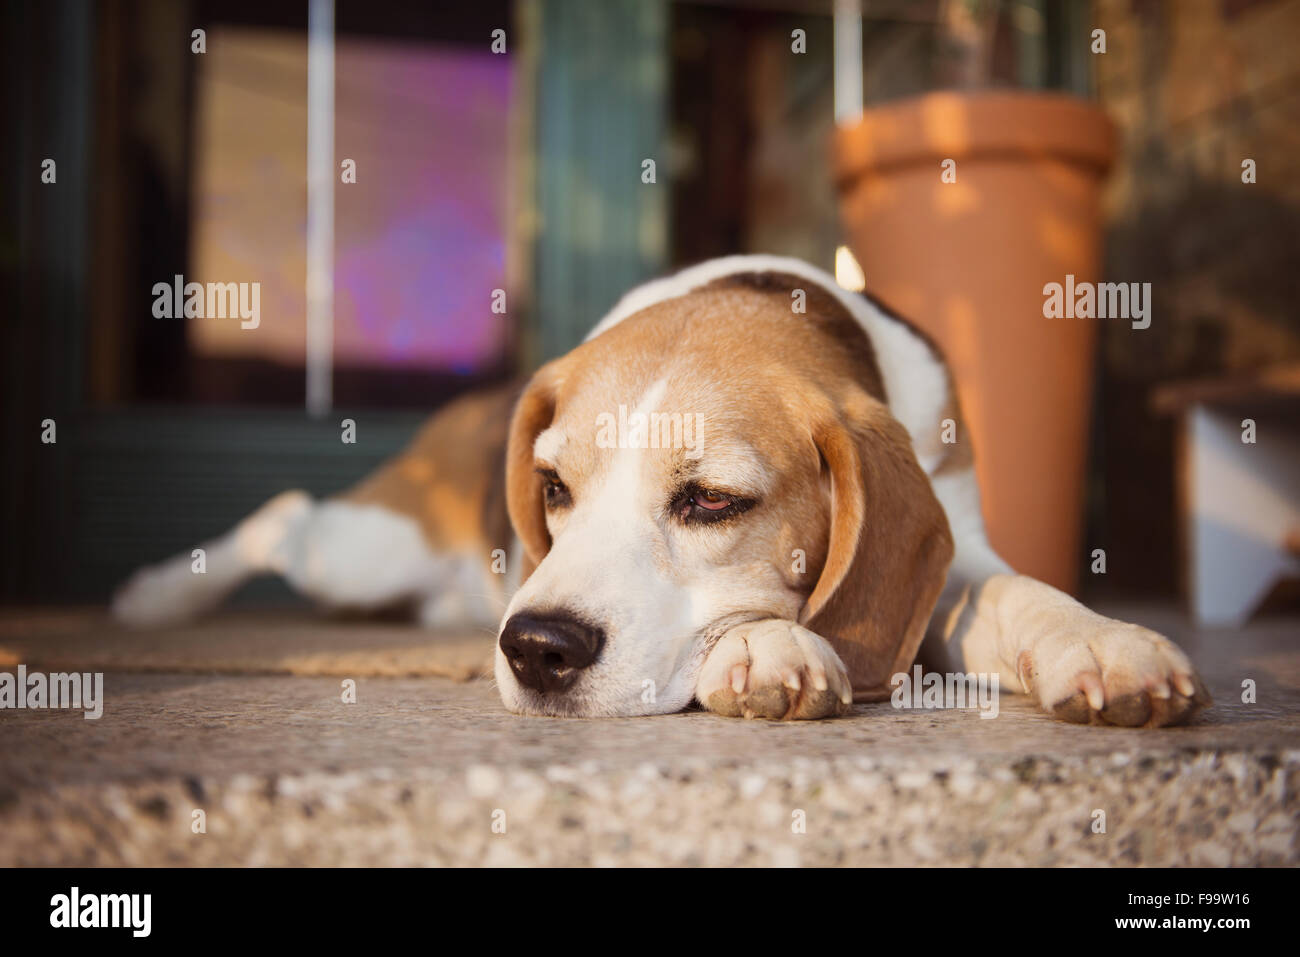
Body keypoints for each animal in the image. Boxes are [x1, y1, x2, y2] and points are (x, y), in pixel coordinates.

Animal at [111, 254, 1206, 722]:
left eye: (712, 500)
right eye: (553, 485)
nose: (535, 648)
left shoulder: (958, 543)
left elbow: (1017, 592)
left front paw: (1098, 643)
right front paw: (765, 645)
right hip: (365, 548)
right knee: (285, 517)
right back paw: (156, 596)